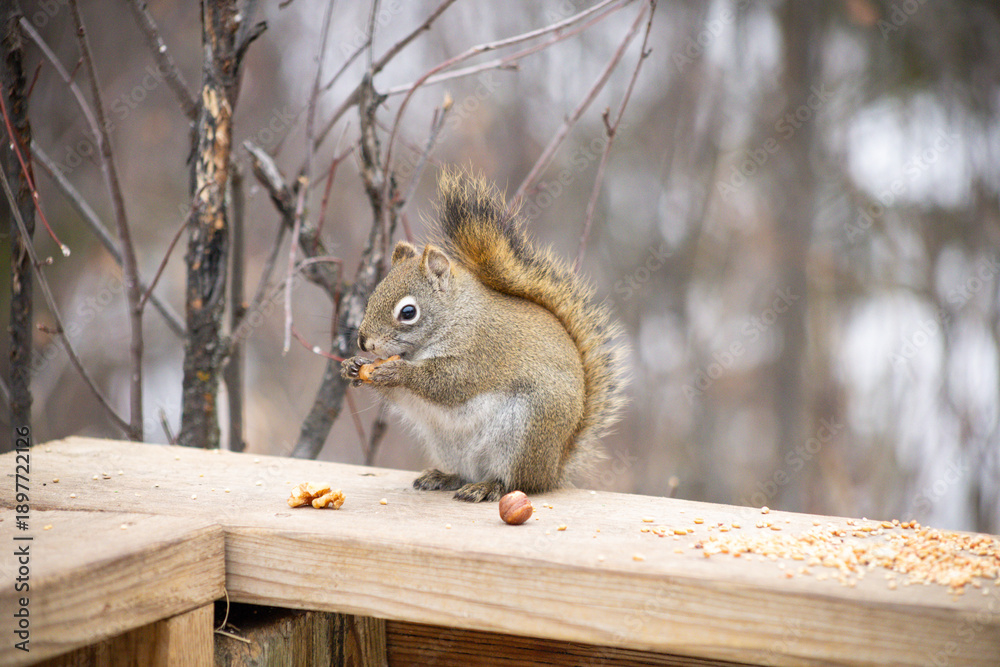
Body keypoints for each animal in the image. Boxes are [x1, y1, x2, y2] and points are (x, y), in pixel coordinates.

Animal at [341, 170, 627, 502]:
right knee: (465, 471)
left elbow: (448, 381)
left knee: (514, 481)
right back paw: (444, 477)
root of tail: (553, 469)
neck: (456, 315)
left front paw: (397, 371)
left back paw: (488, 486)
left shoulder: (481, 351)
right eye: (372, 297)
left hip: (523, 432)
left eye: (408, 312)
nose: (364, 342)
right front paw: (353, 365)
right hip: (449, 444)